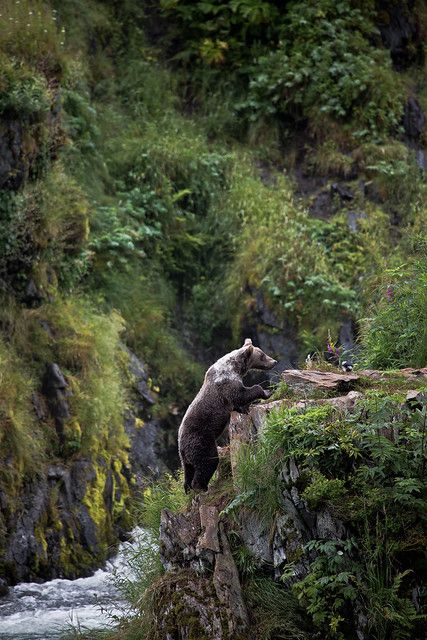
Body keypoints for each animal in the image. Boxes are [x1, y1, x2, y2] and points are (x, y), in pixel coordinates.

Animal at [178, 340, 276, 496]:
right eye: (262, 355)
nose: (274, 361)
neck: (235, 367)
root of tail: (182, 447)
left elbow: (238, 403)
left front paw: (245, 408)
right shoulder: (226, 383)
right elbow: (241, 394)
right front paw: (266, 391)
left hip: (185, 457)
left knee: (189, 471)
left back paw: (188, 489)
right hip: (201, 440)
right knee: (208, 461)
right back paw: (202, 487)